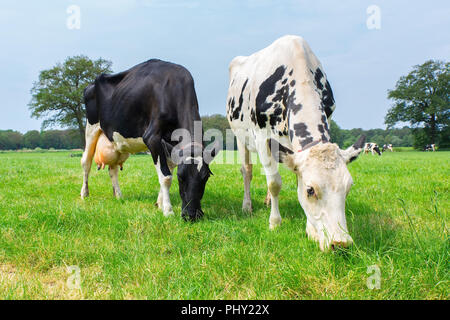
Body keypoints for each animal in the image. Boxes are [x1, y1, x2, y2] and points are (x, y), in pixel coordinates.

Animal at [81, 58, 218, 220]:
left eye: (206, 177)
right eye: (181, 177)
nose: (191, 215)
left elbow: (168, 170)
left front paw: (159, 203)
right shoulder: (152, 137)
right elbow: (166, 176)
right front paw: (168, 210)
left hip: (116, 141)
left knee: (112, 169)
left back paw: (119, 196)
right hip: (91, 128)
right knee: (86, 162)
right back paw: (84, 194)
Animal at [225, 34, 366, 250]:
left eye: (348, 187)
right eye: (311, 190)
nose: (340, 243)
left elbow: (292, 178)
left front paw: (310, 229)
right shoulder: (261, 137)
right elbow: (274, 182)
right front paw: (275, 222)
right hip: (240, 136)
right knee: (247, 170)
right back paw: (247, 206)